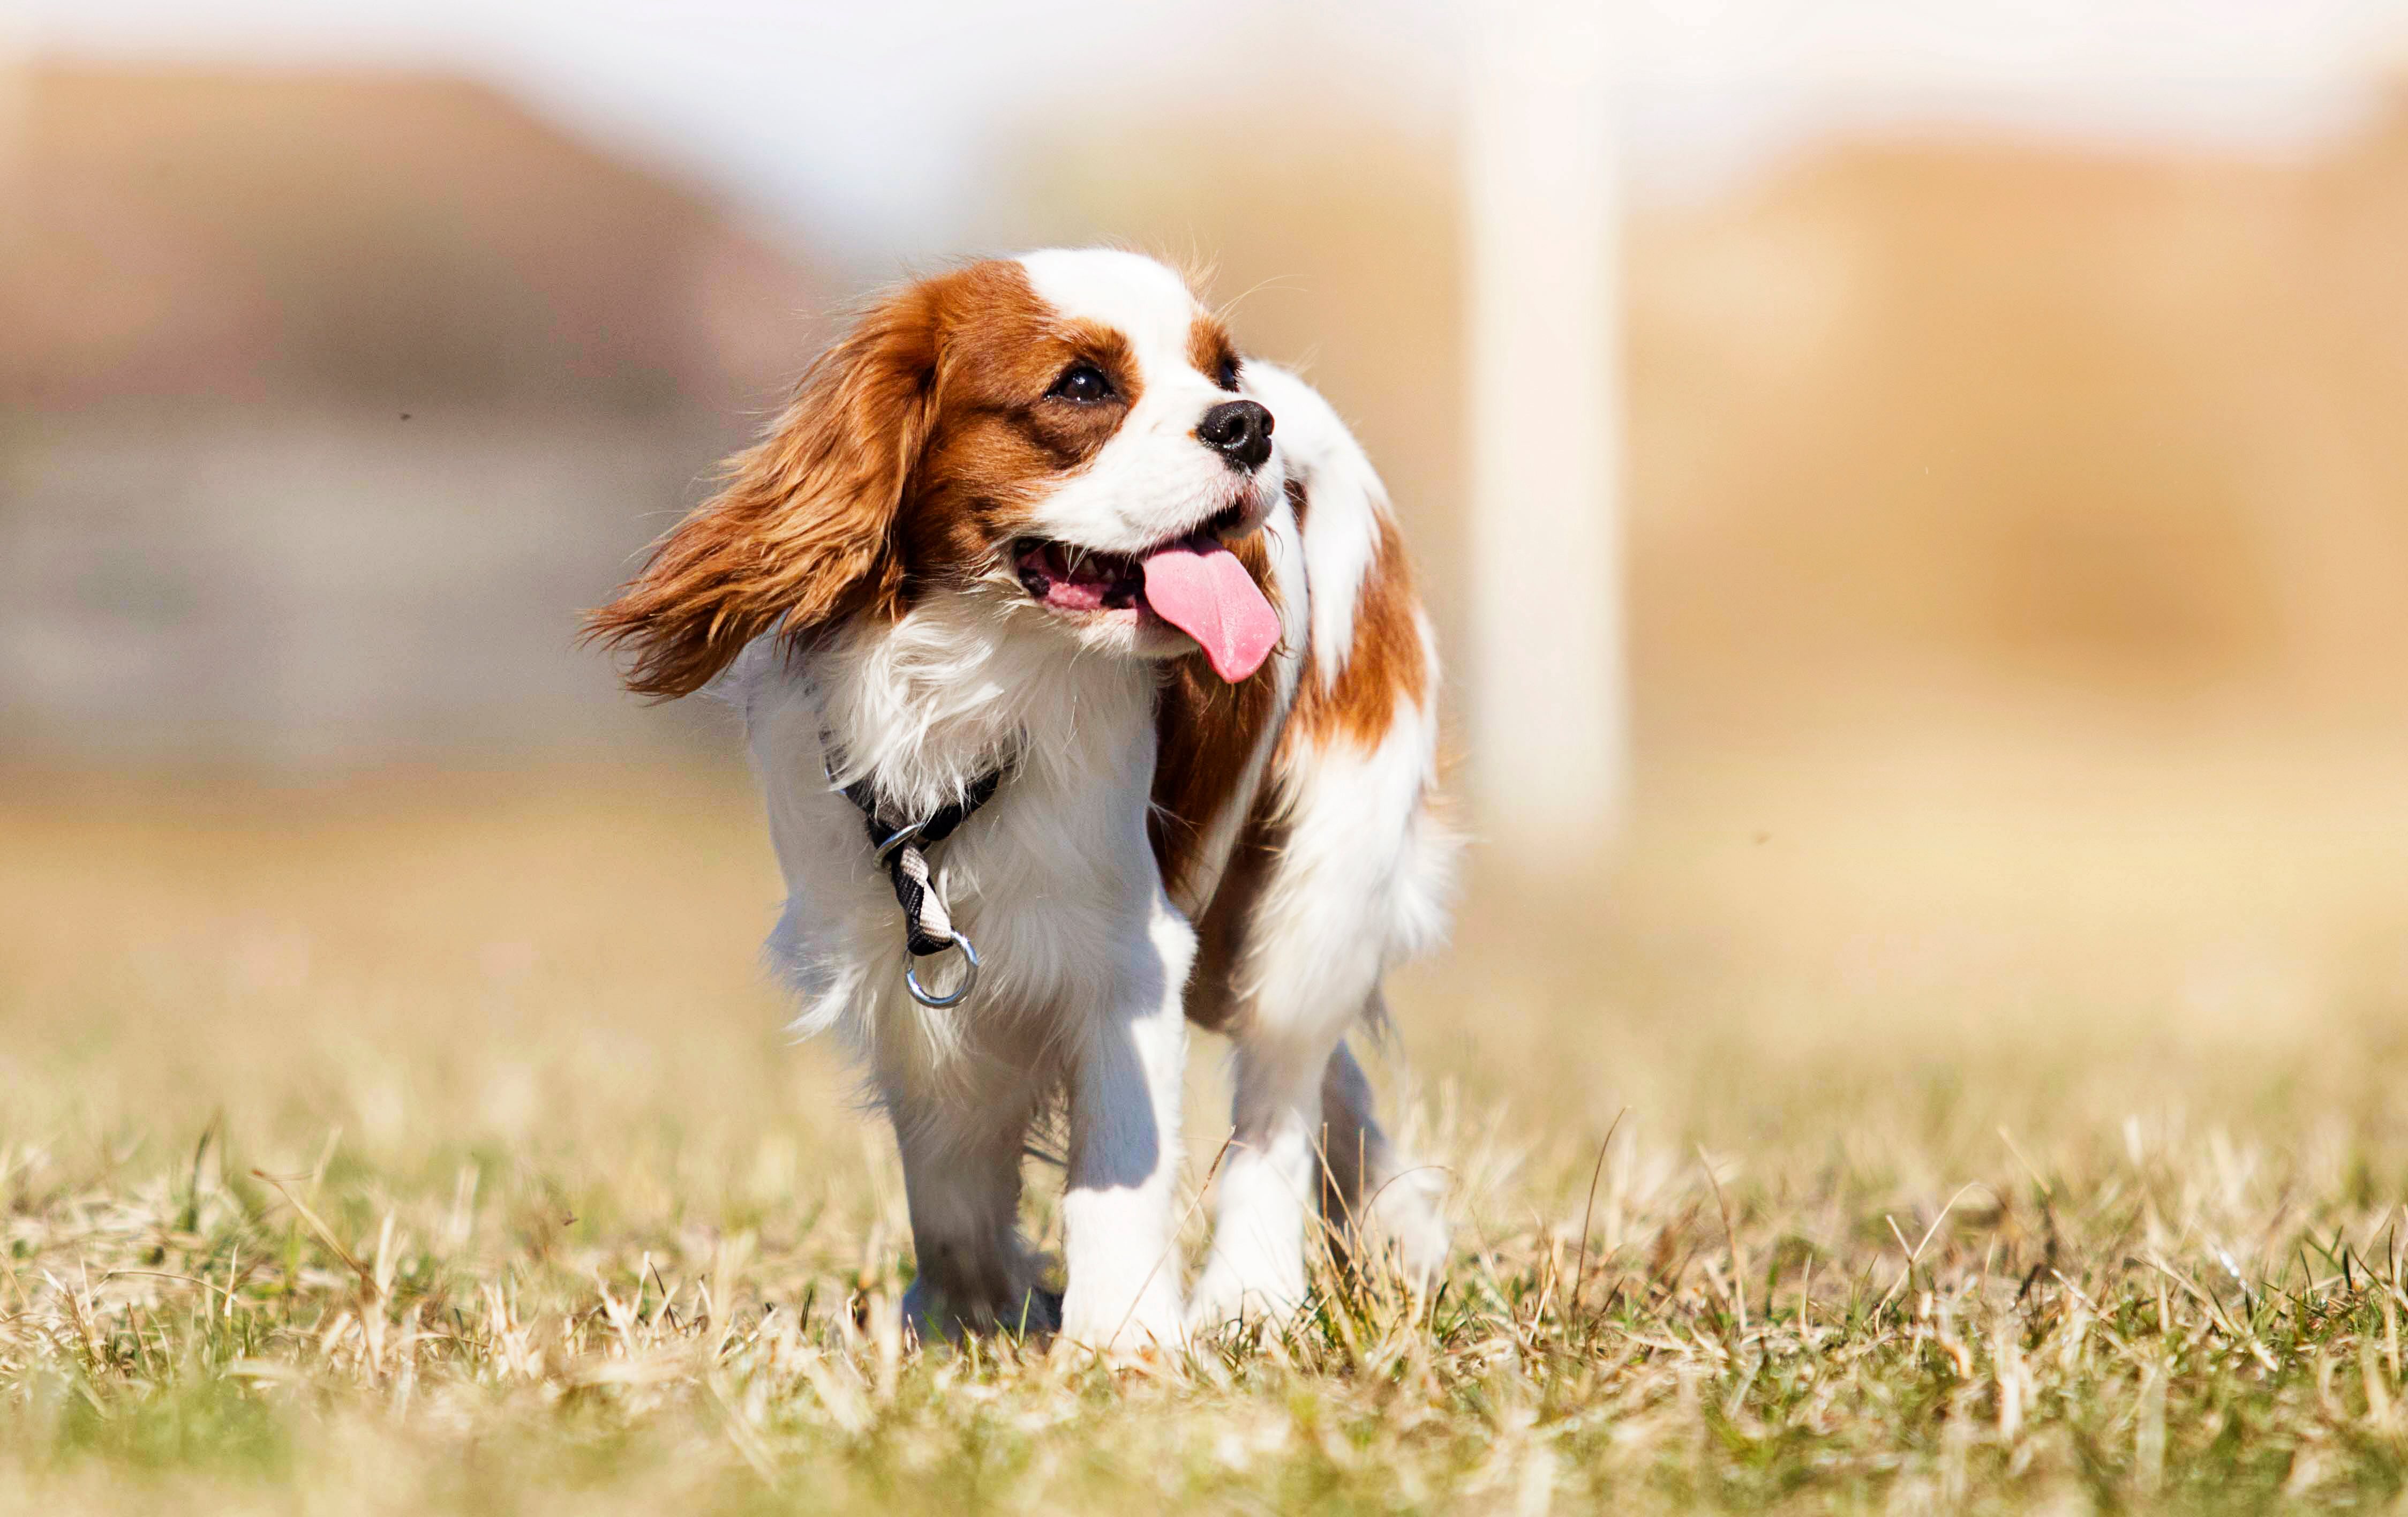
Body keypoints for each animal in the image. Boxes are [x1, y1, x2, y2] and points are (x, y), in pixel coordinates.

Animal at [592, 249, 1454, 1358]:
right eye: (1082, 385)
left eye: (1220, 369)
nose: (1245, 421)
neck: (979, 673)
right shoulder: (895, 963)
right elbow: (950, 1194)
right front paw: (972, 1315)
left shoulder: (1127, 956)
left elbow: (1118, 1172)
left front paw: (1122, 1341)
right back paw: (1395, 1222)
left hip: (1326, 883)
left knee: (1283, 1083)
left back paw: (1252, 1293)